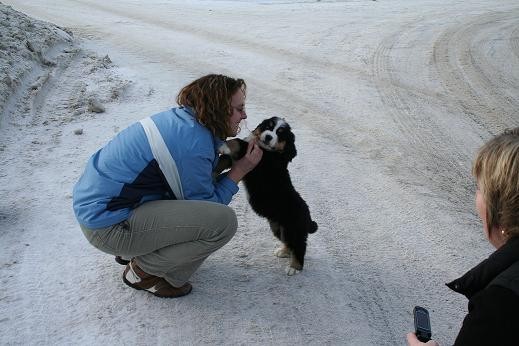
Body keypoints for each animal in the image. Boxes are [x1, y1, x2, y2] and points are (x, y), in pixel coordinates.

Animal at [214, 117, 316, 274]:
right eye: (269, 126)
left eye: (280, 133)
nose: (268, 137)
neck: (268, 150)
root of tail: (308, 216)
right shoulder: (239, 159)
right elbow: (225, 160)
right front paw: (213, 171)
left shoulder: (259, 158)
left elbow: (239, 142)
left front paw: (223, 145)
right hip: (278, 227)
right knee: (289, 242)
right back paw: (283, 252)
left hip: (293, 228)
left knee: (299, 246)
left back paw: (294, 267)